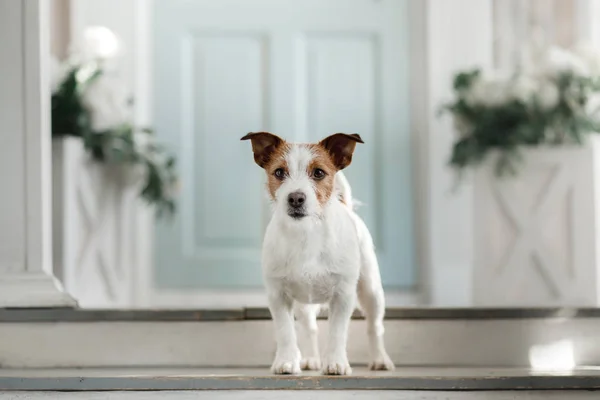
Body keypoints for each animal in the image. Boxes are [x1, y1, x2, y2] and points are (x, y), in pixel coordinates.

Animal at [241, 131, 396, 376]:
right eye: (279, 172)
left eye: (319, 173)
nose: (296, 198)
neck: (306, 234)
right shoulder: (278, 296)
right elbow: (285, 331)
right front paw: (286, 361)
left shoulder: (343, 296)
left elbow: (337, 332)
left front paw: (335, 363)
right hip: (305, 303)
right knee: (309, 328)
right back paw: (310, 358)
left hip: (371, 291)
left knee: (374, 326)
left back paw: (380, 359)